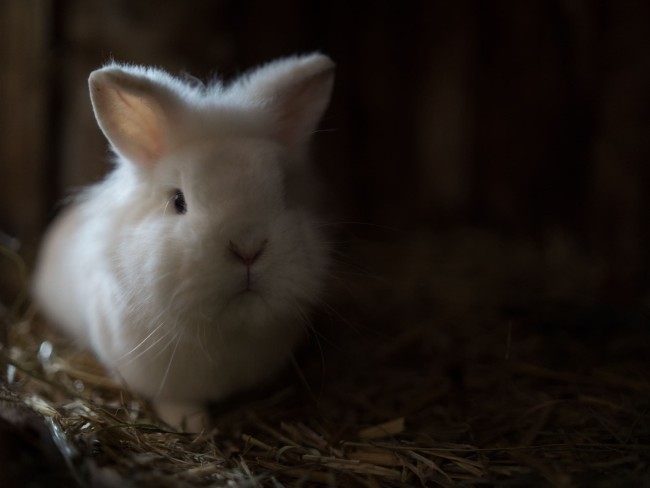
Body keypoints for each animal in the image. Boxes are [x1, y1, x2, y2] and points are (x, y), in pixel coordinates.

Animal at [31, 52, 334, 428]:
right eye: (178, 201)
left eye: (285, 193)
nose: (248, 248)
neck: (228, 331)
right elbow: (177, 403)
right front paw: (194, 426)